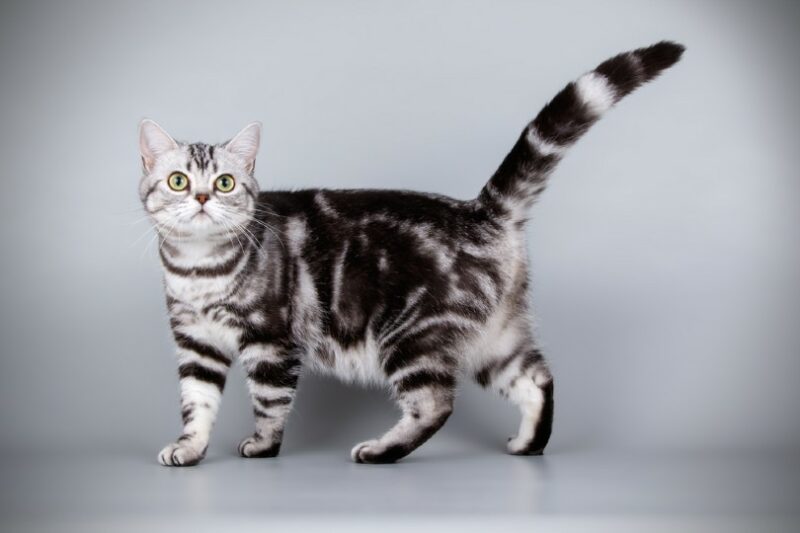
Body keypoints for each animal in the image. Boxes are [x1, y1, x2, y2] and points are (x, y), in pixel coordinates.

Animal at [141, 41, 684, 466]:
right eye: (178, 181)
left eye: (226, 183)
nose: (202, 197)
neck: (198, 268)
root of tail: (481, 211)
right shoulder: (196, 344)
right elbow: (197, 403)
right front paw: (189, 448)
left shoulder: (269, 341)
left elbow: (269, 401)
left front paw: (262, 445)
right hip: (495, 337)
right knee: (537, 379)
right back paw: (529, 445)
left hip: (410, 336)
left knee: (436, 403)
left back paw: (381, 450)